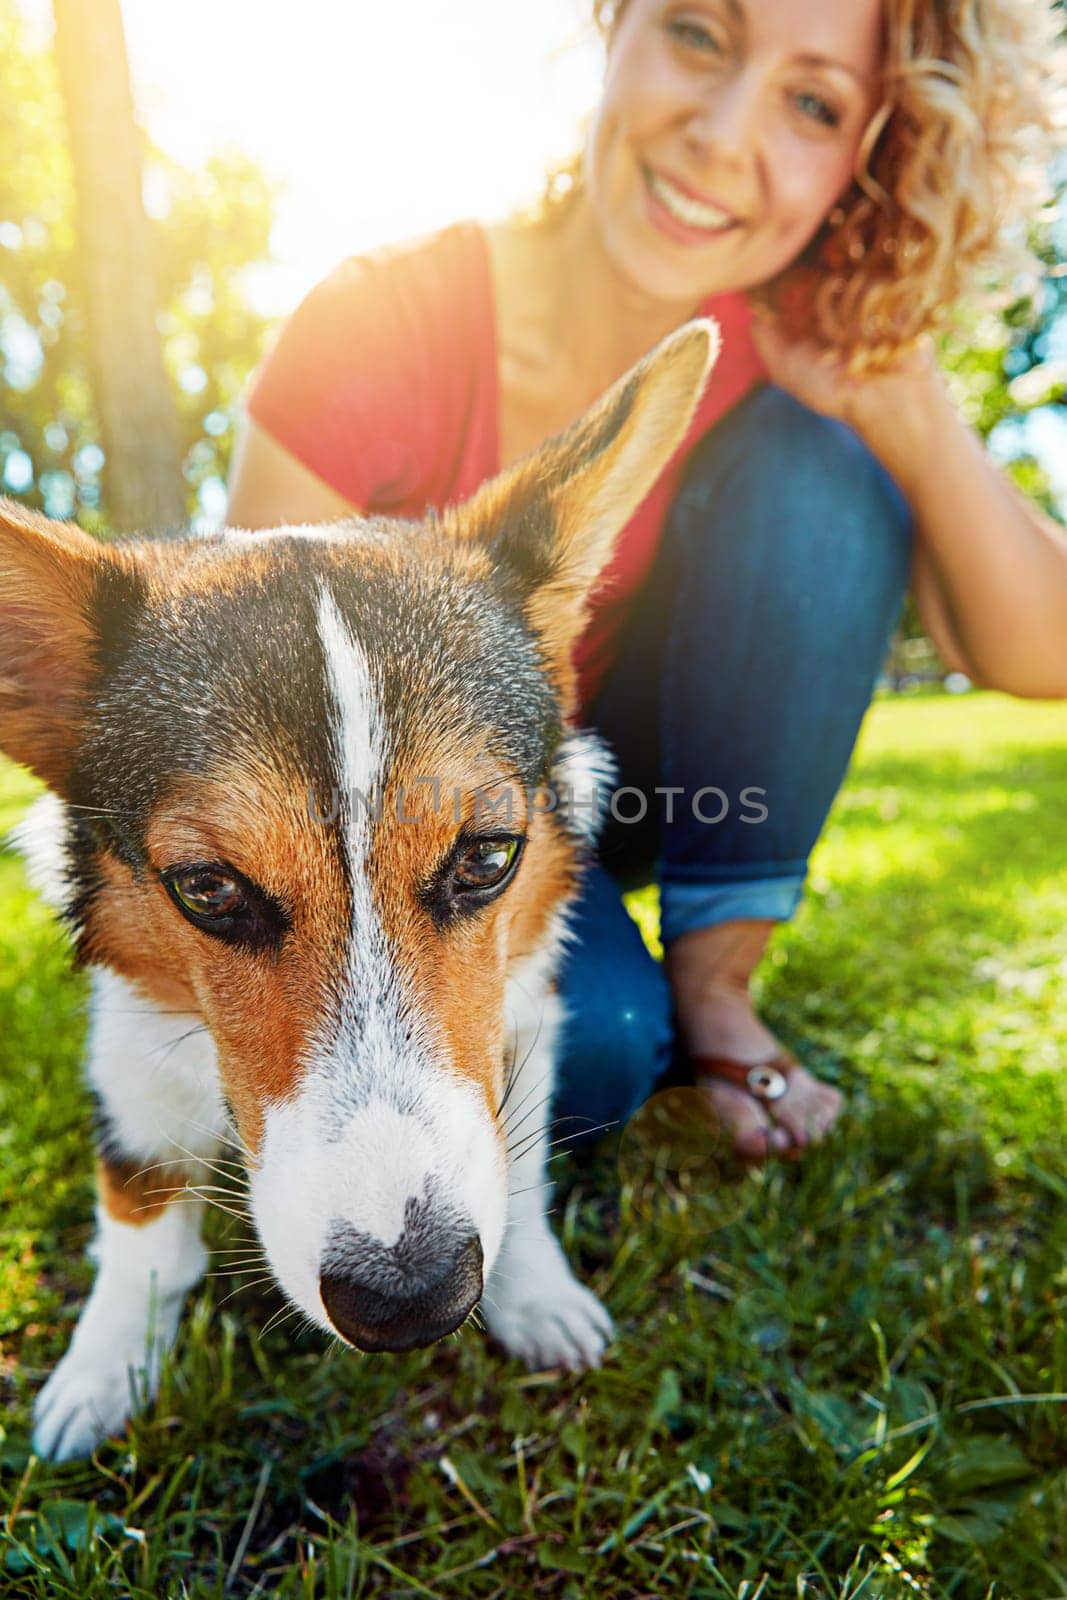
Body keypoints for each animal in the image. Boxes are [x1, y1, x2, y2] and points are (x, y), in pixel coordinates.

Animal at [2, 315, 716, 1465]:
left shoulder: (522, 1014)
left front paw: (536, 1294)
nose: (412, 1300)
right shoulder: (127, 1052)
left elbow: (514, 1169)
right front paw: (102, 1370)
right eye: (208, 888)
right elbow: (138, 1221)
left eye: (486, 857)